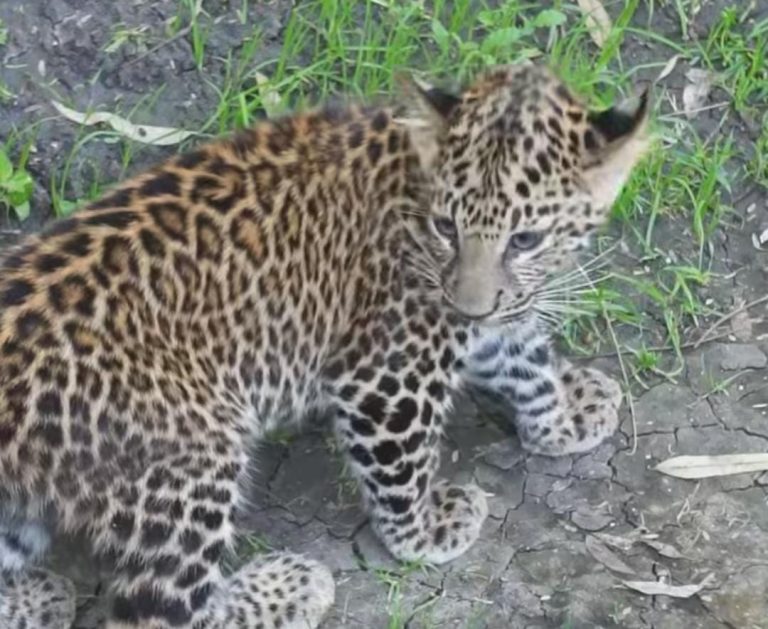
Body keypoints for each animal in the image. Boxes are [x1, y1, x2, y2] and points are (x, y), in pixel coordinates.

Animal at [0, 63, 649, 629]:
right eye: (446, 227)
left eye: (526, 239)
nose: (467, 306)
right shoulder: (388, 368)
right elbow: (403, 463)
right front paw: (424, 532)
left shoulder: (476, 315)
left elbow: (523, 357)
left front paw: (566, 412)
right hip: (186, 462)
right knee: (165, 612)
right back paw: (290, 588)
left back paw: (36, 598)